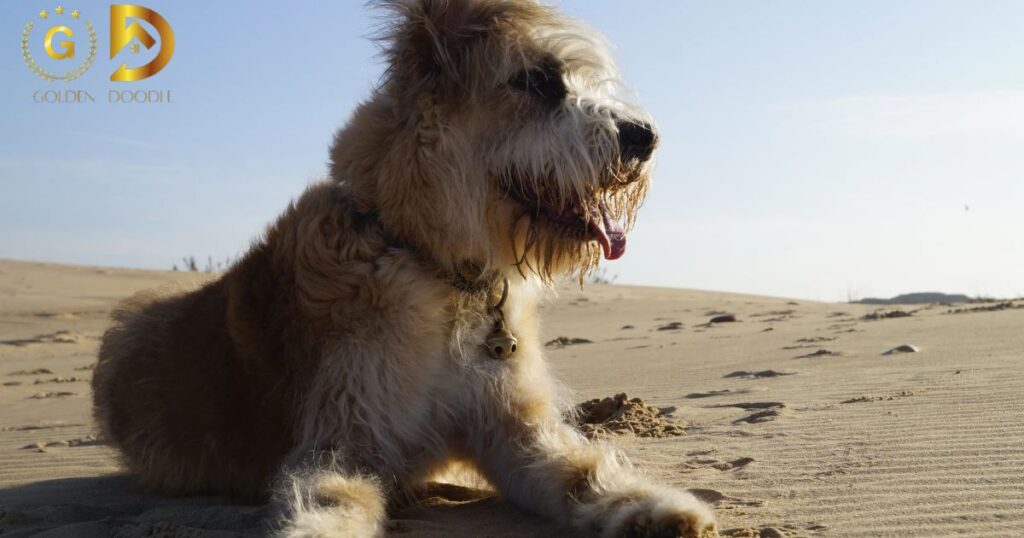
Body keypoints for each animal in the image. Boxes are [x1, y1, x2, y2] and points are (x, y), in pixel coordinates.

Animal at [94, 2, 720, 532]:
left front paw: (659, 509)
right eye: (538, 80)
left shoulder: (515, 431)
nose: (645, 137)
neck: (440, 272)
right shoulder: (347, 438)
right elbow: (336, 497)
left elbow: (581, 471)